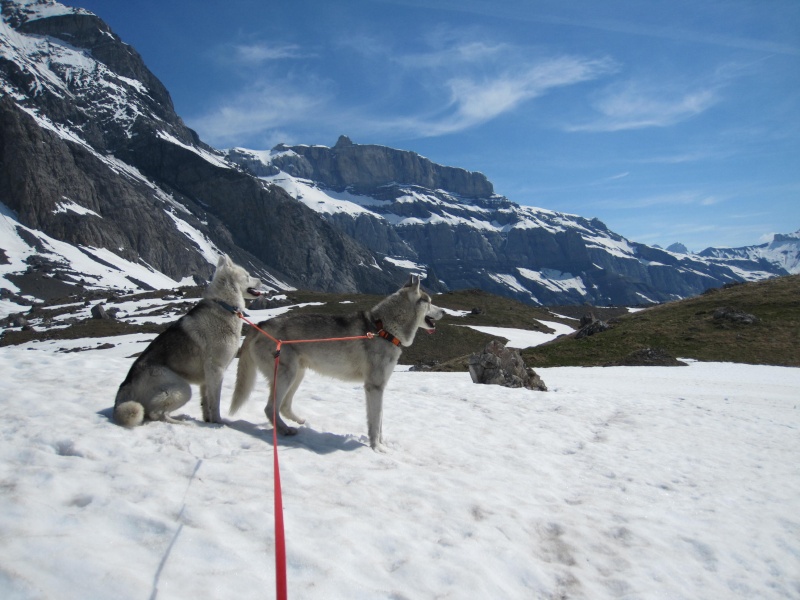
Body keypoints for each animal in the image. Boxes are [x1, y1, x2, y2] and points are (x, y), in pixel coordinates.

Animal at [114, 255, 262, 428]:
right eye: (247, 276)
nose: (261, 280)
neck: (224, 306)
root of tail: (126, 384)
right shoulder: (216, 370)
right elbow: (215, 402)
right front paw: (218, 422)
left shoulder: (206, 379)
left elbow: (206, 403)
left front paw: (208, 421)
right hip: (182, 389)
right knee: (155, 414)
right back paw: (182, 422)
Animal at [230, 276, 444, 450]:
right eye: (430, 302)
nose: (442, 311)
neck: (384, 330)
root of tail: (261, 325)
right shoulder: (374, 386)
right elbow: (376, 423)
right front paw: (377, 448)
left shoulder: (379, 386)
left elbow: (379, 422)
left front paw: (381, 444)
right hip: (286, 375)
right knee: (270, 408)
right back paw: (284, 430)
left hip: (297, 374)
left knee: (283, 406)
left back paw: (297, 421)